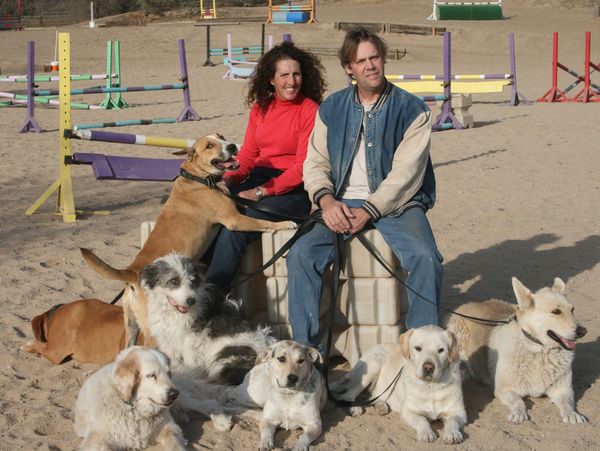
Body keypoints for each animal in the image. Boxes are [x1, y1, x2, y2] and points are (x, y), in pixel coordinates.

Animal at [79, 133, 296, 346]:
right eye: (209, 145)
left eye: (221, 137)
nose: (232, 146)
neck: (199, 177)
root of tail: (131, 273)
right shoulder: (235, 220)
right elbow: (263, 221)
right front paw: (286, 223)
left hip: (131, 326)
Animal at [330, 326, 466, 446]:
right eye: (418, 348)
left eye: (441, 350)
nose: (428, 367)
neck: (431, 386)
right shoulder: (408, 411)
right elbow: (421, 420)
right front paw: (426, 433)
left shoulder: (460, 412)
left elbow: (452, 420)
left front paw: (453, 434)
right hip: (373, 365)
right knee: (347, 394)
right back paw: (355, 408)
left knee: (372, 396)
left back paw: (381, 406)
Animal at [448, 278, 588, 426]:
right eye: (556, 311)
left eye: (572, 310)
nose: (583, 331)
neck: (539, 351)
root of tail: (466, 305)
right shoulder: (504, 389)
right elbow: (518, 401)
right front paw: (518, 413)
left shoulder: (564, 389)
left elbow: (567, 403)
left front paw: (572, 414)